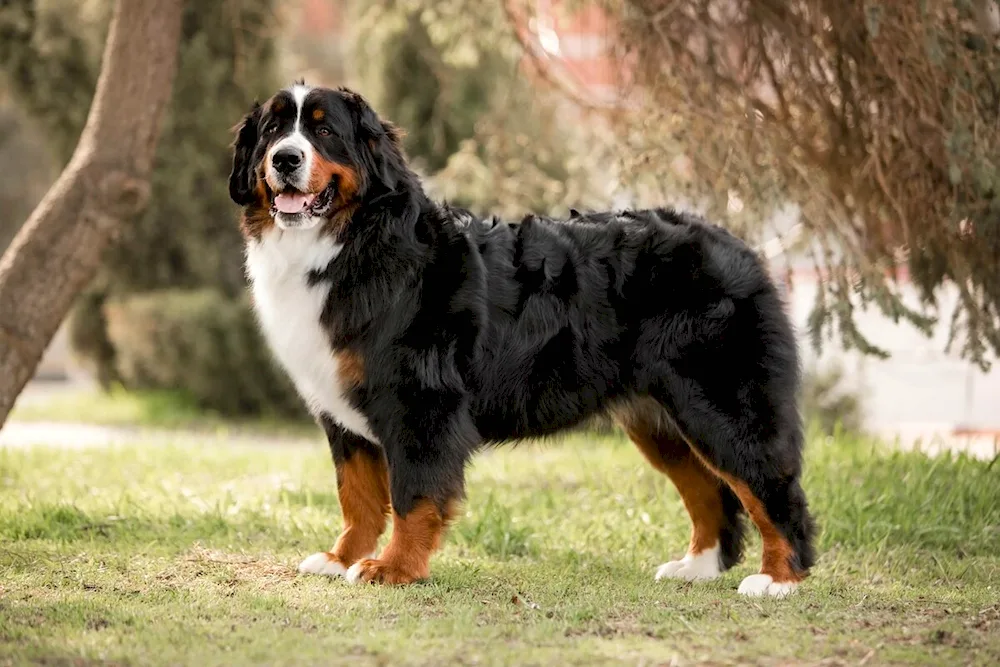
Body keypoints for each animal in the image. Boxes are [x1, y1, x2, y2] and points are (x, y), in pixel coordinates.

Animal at [227, 81, 812, 596]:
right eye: (273, 130)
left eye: (324, 132)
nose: (285, 159)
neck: (349, 243)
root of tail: (737, 244)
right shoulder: (342, 414)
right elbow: (358, 497)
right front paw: (341, 557)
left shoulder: (419, 403)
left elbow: (413, 495)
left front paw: (394, 569)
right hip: (661, 419)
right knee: (710, 492)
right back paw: (698, 567)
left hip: (723, 405)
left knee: (773, 489)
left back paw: (778, 580)